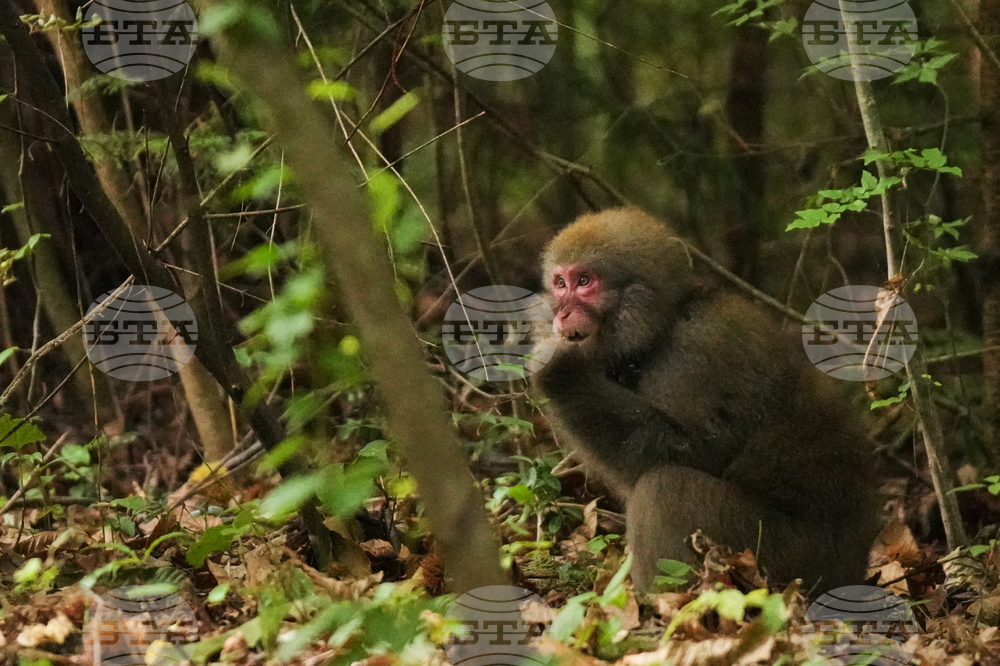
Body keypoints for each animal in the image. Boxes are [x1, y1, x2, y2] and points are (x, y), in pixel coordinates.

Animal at [532, 208, 880, 592]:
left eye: (584, 281)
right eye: (560, 284)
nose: (562, 314)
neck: (663, 328)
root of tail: (851, 571)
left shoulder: (698, 350)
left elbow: (695, 453)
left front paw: (559, 367)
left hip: (780, 563)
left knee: (666, 489)